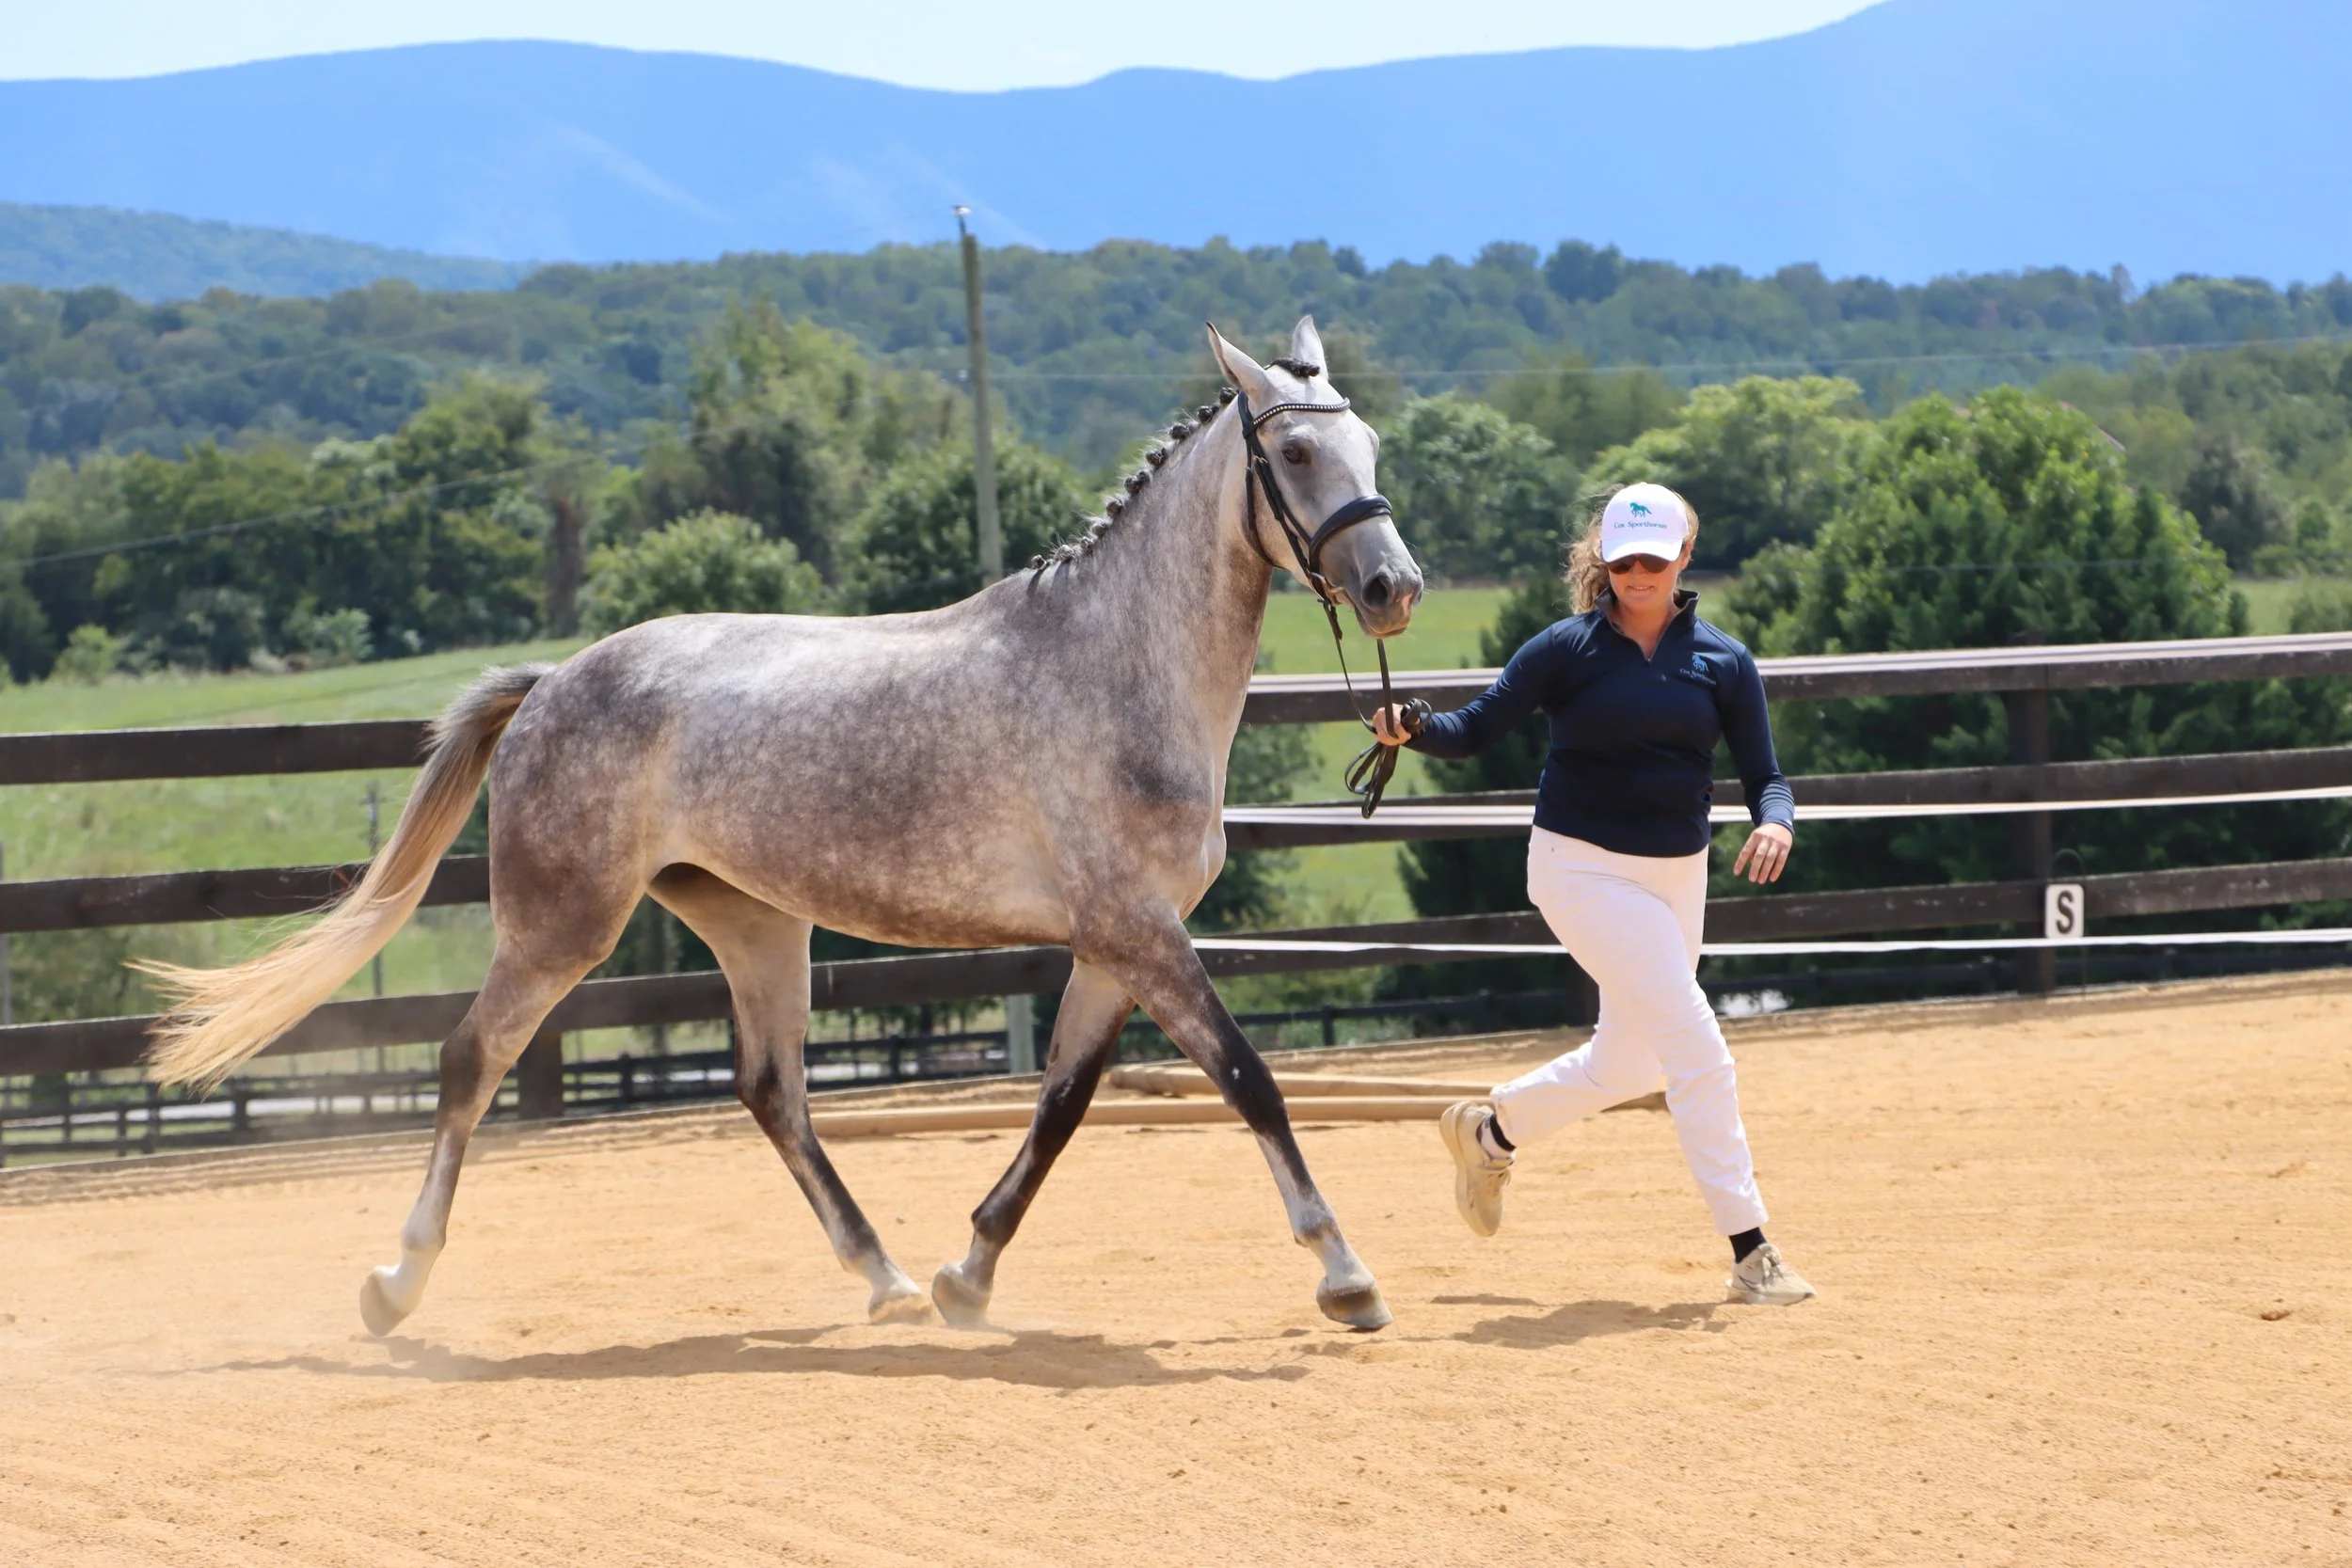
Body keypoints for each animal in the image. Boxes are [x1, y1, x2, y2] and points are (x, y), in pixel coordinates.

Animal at [142, 318, 1424, 1335]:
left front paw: (966, 1275)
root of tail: (555, 681)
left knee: (771, 1088)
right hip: (560, 928)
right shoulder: (1138, 929)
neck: (1112, 667)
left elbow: (1062, 1103)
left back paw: (889, 1280)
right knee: (472, 1060)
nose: (1393, 587)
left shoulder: (1114, 944)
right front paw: (1348, 1276)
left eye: (1370, 448)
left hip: (755, 924)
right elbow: (1249, 1078)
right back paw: (394, 1285)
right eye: (1294, 451)